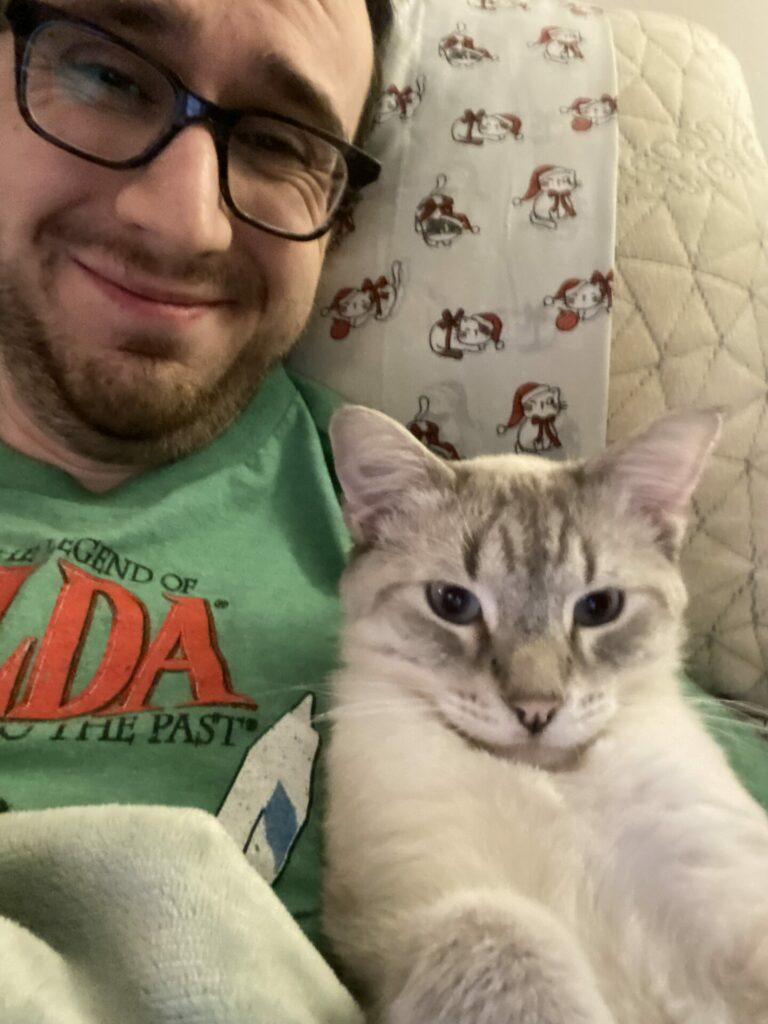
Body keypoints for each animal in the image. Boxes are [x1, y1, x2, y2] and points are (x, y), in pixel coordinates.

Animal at [323, 405, 768, 1024]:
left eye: (599, 608)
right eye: (452, 604)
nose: (537, 710)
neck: (555, 785)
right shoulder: (407, 915)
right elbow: (501, 932)